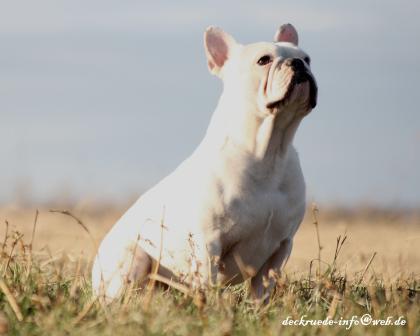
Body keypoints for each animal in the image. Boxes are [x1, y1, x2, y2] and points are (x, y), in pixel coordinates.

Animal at [91, 24, 316, 302]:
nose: (298, 64)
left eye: (308, 59)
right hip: (132, 259)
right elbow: (209, 284)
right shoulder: (209, 243)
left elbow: (261, 293)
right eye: (264, 60)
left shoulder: (281, 247)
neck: (269, 150)